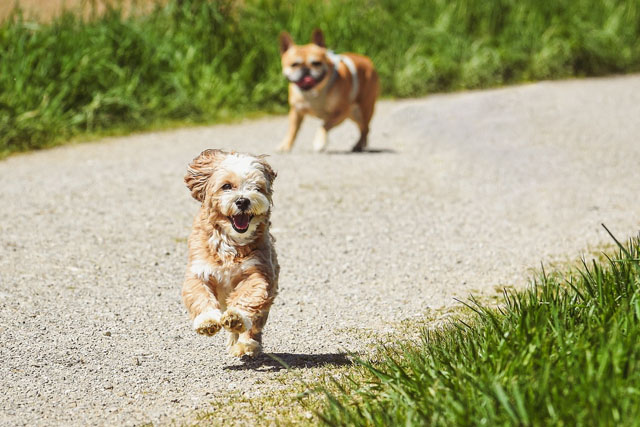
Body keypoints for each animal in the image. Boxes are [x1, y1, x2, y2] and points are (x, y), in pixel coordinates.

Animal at [181, 150, 278, 358]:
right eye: (226, 186)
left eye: (257, 188)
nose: (242, 200)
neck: (230, 241)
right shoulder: (198, 271)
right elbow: (199, 295)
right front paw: (207, 321)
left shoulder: (258, 272)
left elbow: (248, 296)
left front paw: (236, 317)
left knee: (255, 324)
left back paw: (246, 343)